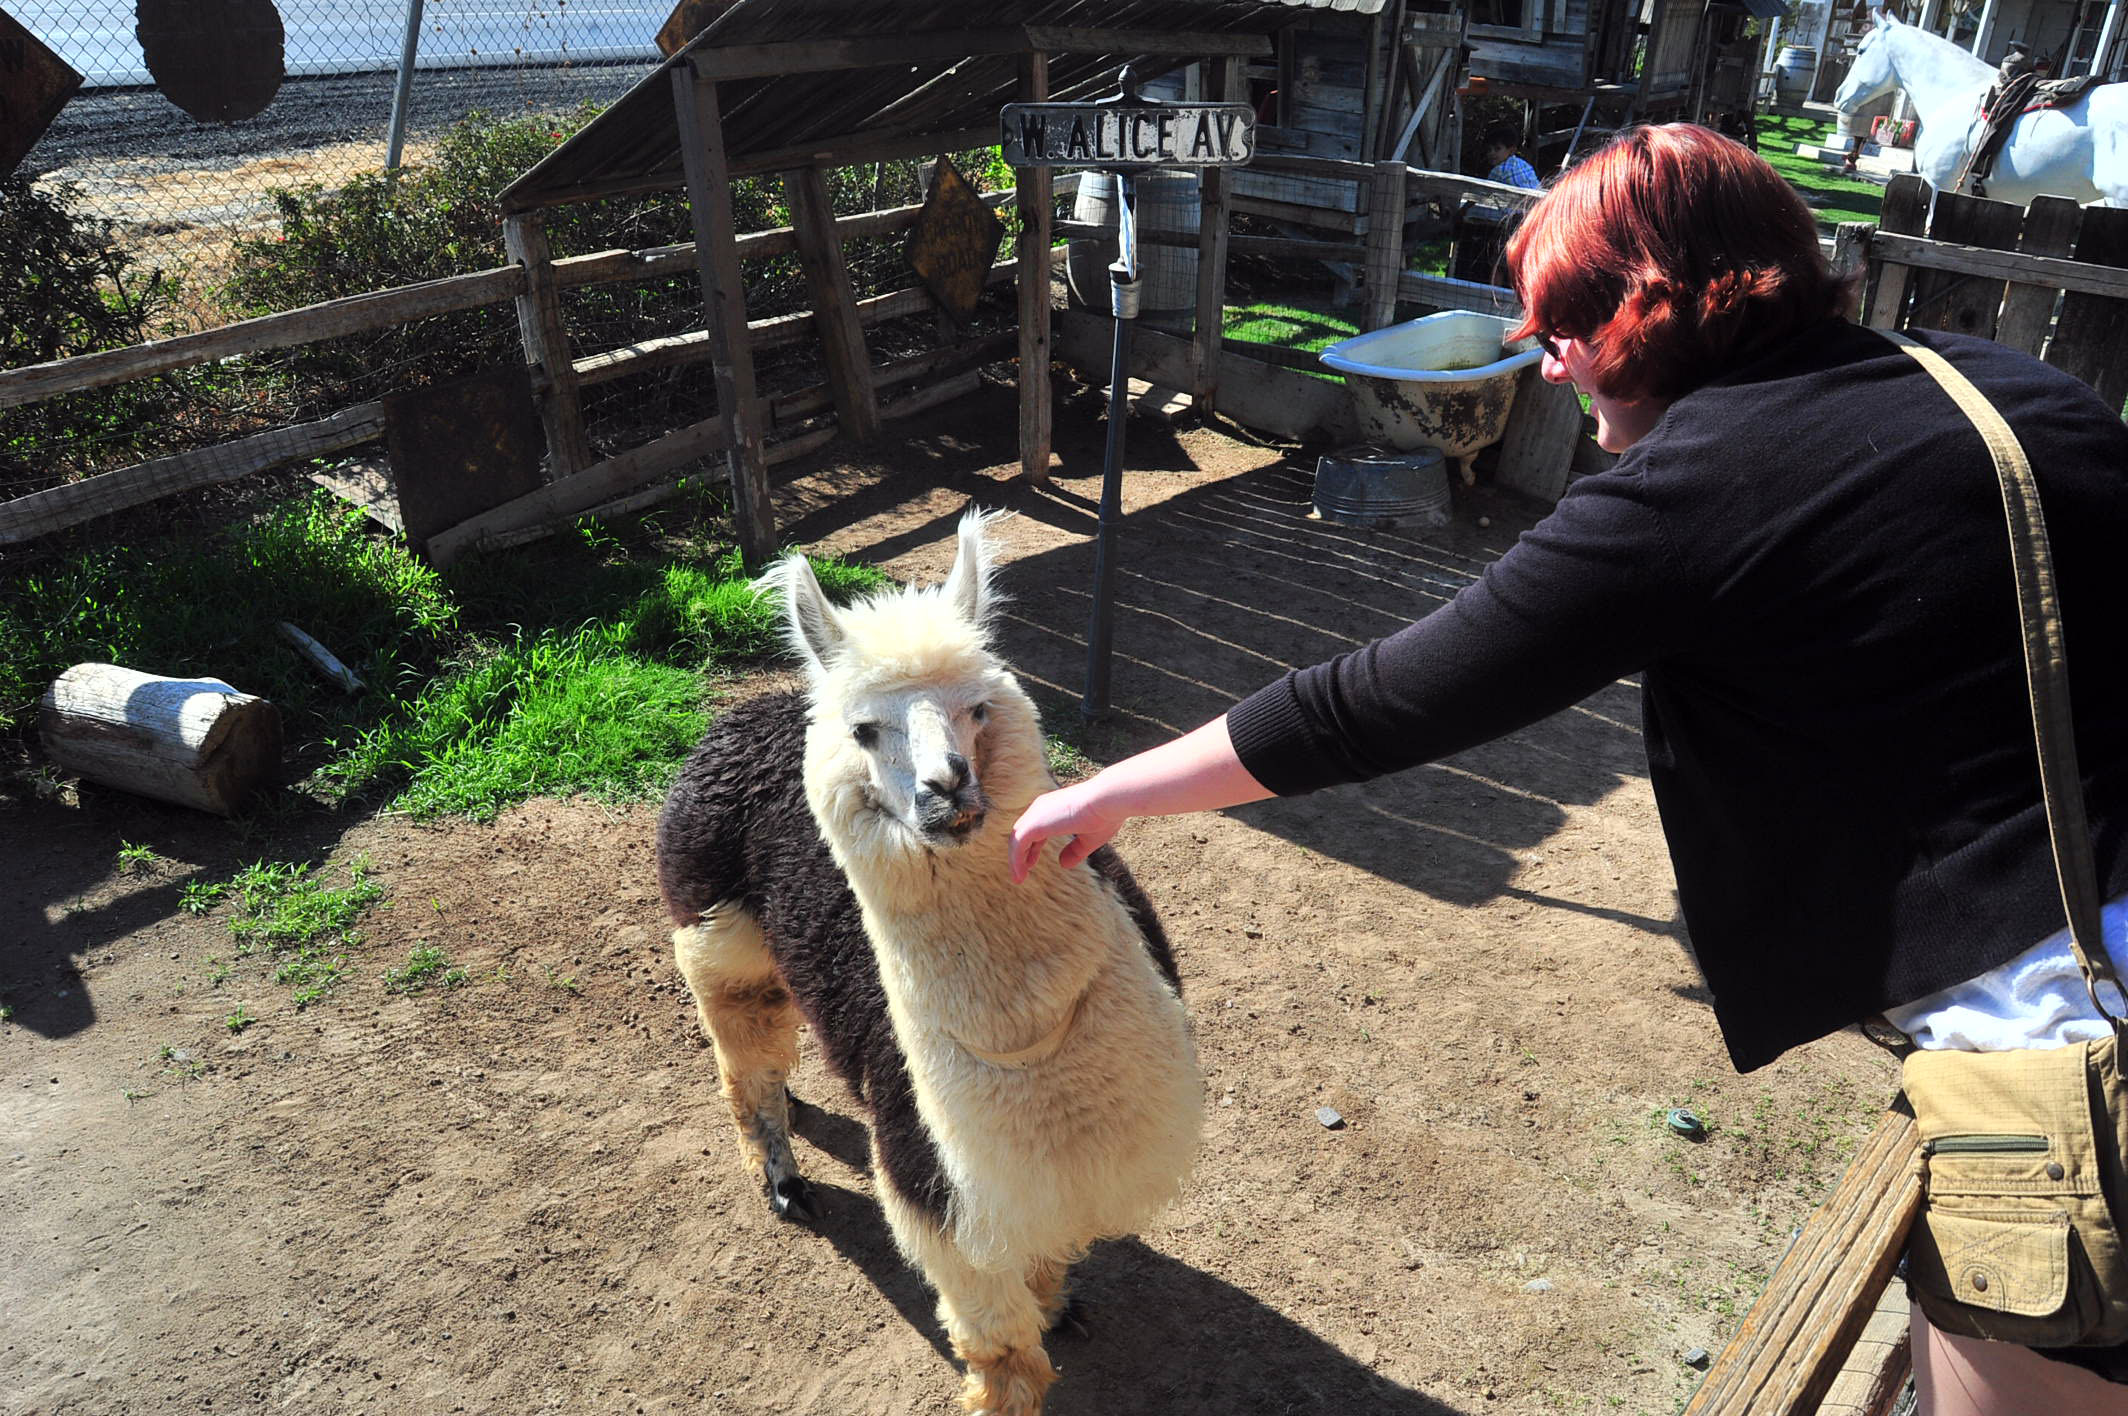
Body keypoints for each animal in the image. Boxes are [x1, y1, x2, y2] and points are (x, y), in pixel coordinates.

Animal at [654, 510, 1204, 1416]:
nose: (946, 789)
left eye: (977, 708)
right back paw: (783, 1181)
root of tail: (757, 710)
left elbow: (1046, 1260)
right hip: (712, 927)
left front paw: (1058, 1304)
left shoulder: (1046, 1178)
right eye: (867, 730)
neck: (1037, 1059)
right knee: (743, 1058)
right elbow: (1002, 1351)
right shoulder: (938, 1183)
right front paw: (1011, 1376)